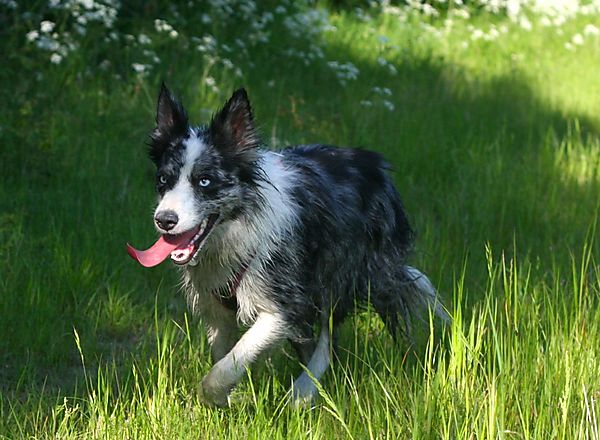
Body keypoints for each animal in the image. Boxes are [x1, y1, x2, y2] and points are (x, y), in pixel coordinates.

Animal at [127, 84, 446, 408]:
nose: (164, 220)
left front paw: (224, 397)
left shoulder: (283, 305)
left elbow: (224, 367)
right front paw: (227, 403)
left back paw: (302, 391)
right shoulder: (216, 309)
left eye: (204, 181)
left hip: (340, 270)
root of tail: (376, 165)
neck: (238, 227)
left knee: (327, 337)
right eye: (163, 179)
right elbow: (222, 357)